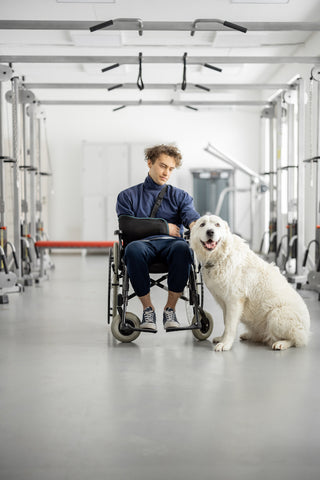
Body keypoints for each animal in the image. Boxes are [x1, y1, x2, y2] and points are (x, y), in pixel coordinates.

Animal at [190, 216, 310, 350]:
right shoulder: (225, 303)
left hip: (276, 315)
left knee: (295, 339)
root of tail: (306, 331)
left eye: (217, 224)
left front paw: (225, 344)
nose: (210, 232)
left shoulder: (234, 301)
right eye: (202, 224)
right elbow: (226, 323)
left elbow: (230, 325)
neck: (221, 257)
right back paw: (249, 335)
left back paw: (281, 343)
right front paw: (222, 339)